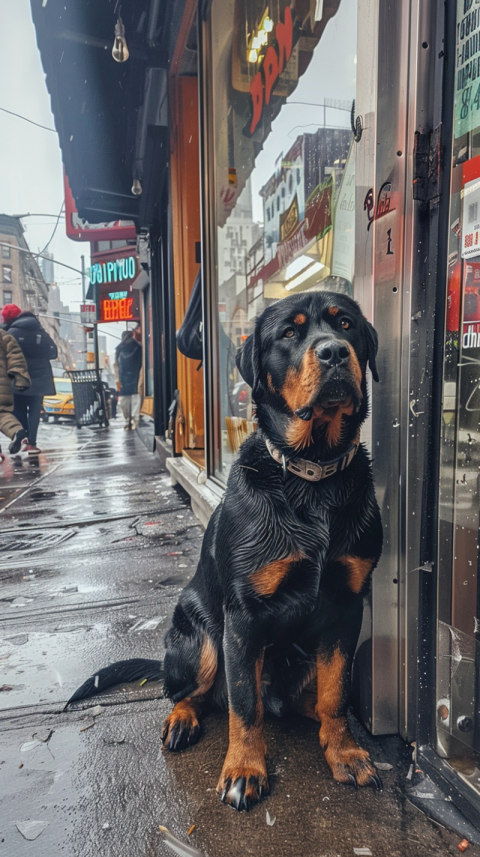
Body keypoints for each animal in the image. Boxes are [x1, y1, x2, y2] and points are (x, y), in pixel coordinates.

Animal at [68, 290, 382, 808]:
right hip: (202, 639)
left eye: (346, 325)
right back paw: (181, 721)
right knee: (191, 693)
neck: (311, 477)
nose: (335, 352)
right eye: (290, 333)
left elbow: (336, 693)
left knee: (310, 700)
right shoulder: (243, 615)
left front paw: (345, 752)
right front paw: (244, 769)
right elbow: (244, 704)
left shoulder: (346, 605)